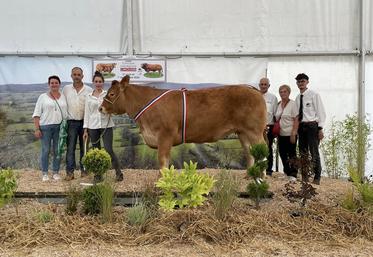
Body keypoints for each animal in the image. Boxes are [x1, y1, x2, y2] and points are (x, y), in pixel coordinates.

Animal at [99, 75, 264, 168]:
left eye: (111, 94)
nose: (100, 108)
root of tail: (253, 89)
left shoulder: (165, 136)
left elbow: (163, 162)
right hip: (242, 132)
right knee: (250, 153)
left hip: (255, 131)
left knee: (261, 153)